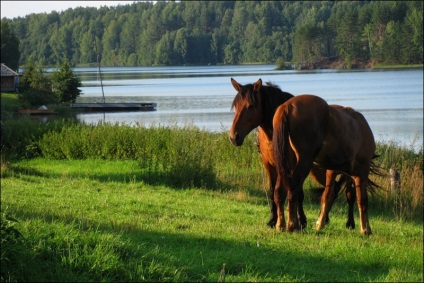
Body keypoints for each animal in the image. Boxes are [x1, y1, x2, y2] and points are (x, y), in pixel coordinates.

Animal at [229, 77, 354, 231]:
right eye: (236, 106)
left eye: (251, 106)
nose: (234, 136)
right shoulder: (270, 165)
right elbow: (274, 191)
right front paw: (273, 220)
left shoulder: (289, 165)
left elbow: (295, 192)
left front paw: (300, 221)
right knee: (334, 189)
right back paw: (324, 219)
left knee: (345, 191)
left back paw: (348, 222)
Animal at [274, 95, 380, 235]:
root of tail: (288, 106)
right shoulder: (361, 172)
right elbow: (362, 200)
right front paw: (366, 229)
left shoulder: (332, 171)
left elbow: (327, 196)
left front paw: (320, 224)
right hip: (304, 162)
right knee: (293, 187)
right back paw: (293, 225)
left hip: (287, 163)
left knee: (280, 190)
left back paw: (280, 224)